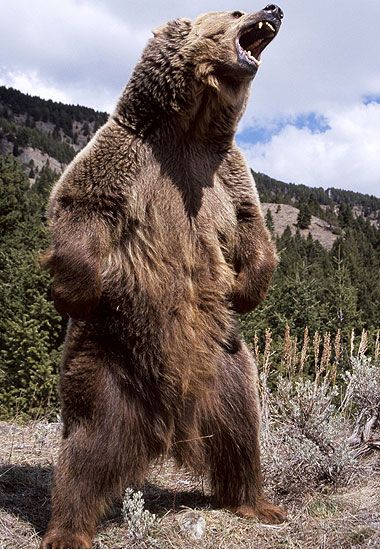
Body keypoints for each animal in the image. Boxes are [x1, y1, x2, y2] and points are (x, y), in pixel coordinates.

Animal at [41, 4, 284, 548]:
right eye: (237, 10)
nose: (275, 8)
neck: (189, 128)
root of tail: (172, 422)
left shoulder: (224, 169)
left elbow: (250, 225)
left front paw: (244, 290)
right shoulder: (126, 153)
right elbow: (81, 204)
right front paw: (74, 292)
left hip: (227, 365)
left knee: (241, 433)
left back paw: (258, 502)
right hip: (107, 362)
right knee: (86, 448)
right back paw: (67, 529)